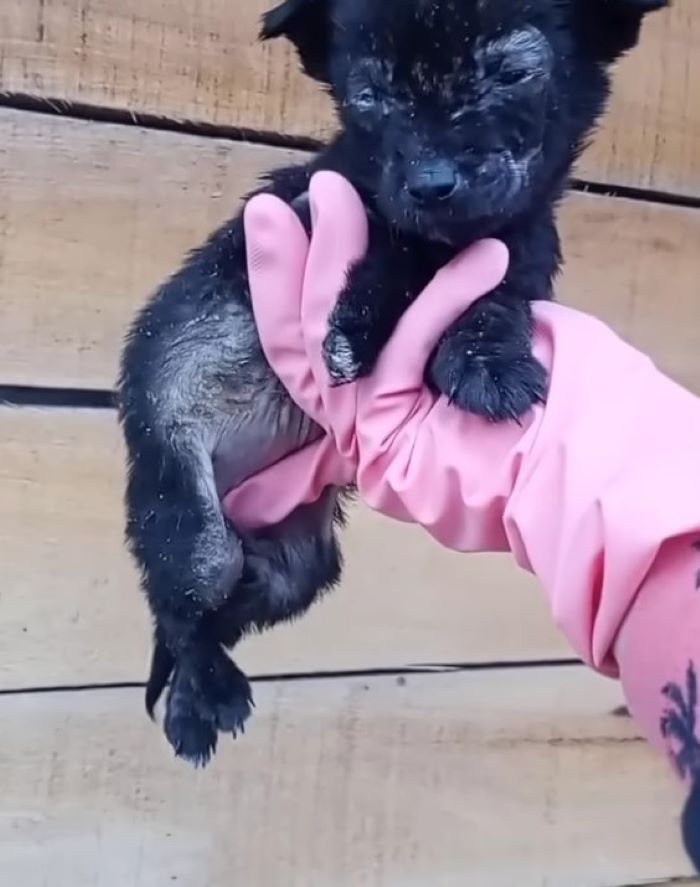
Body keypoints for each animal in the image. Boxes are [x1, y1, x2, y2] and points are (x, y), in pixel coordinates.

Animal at [119, 0, 668, 768]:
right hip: (187, 521)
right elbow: (391, 248)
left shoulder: (520, 242)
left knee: (227, 605)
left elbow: (497, 280)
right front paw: (358, 325)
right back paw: (200, 705)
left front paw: (487, 359)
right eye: (371, 96)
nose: (432, 182)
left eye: (510, 74)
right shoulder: (320, 210)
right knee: (180, 611)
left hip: (298, 565)